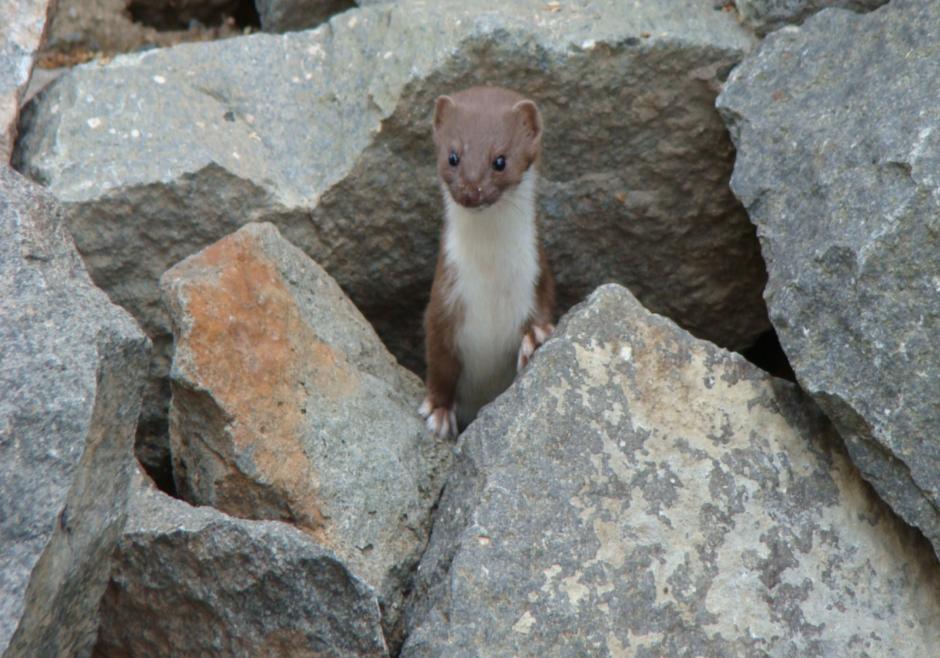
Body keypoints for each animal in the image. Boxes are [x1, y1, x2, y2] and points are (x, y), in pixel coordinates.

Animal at [416, 86, 552, 436]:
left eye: (500, 160)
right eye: (453, 155)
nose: (470, 190)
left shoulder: (538, 280)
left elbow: (543, 311)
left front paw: (535, 338)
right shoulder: (443, 301)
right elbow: (439, 362)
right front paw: (438, 411)